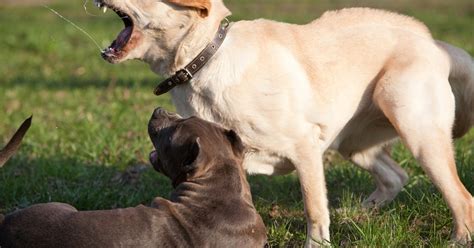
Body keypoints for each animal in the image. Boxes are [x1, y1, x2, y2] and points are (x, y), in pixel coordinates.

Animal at [94, 0, 472, 244]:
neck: (205, 60)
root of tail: (433, 42)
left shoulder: (305, 147)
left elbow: (314, 210)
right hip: (354, 143)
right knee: (396, 175)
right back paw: (358, 213)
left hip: (415, 129)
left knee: (462, 198)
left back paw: (457, 238)